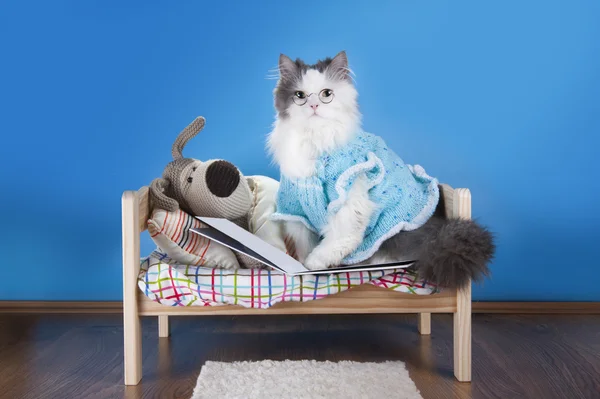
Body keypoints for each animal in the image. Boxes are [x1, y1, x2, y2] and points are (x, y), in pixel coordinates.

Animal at [266, 50, 492, 288]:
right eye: (299, 95)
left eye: (326, 94)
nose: (313, 106)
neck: (317, 141)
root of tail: (437, 230)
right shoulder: (297, 212)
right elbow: (303, 246)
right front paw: (304, 272)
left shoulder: (351, 203)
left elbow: (336, 241)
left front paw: (314, 264)